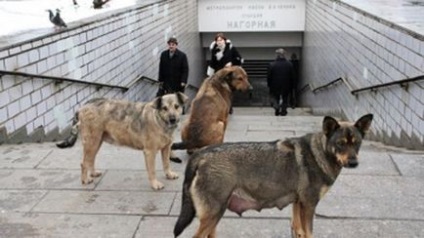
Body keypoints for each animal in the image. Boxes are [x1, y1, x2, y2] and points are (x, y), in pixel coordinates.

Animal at [55, 92, 188, 190]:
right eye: (164, 108)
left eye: (176, 106)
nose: (173, 119)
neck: (159, 120)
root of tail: (83, 106)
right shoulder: (150, 152)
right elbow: (152, 170)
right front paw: (155, 184)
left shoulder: (166, 148)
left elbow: (166, 164)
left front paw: (169, 174)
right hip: (91, 142)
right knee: (84, 162)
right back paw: (85, 180)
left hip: (97, 142)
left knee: (90, 160)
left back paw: (93, 173)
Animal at [174, 114, 372, 238]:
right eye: (340, 143)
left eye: (357, 143)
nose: (353, 163)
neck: (320, 152)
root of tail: (201, 154)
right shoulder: (309, 205)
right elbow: (309, 232)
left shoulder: (298, 203)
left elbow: (298, 230)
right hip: (214, 212)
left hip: (216, 213)